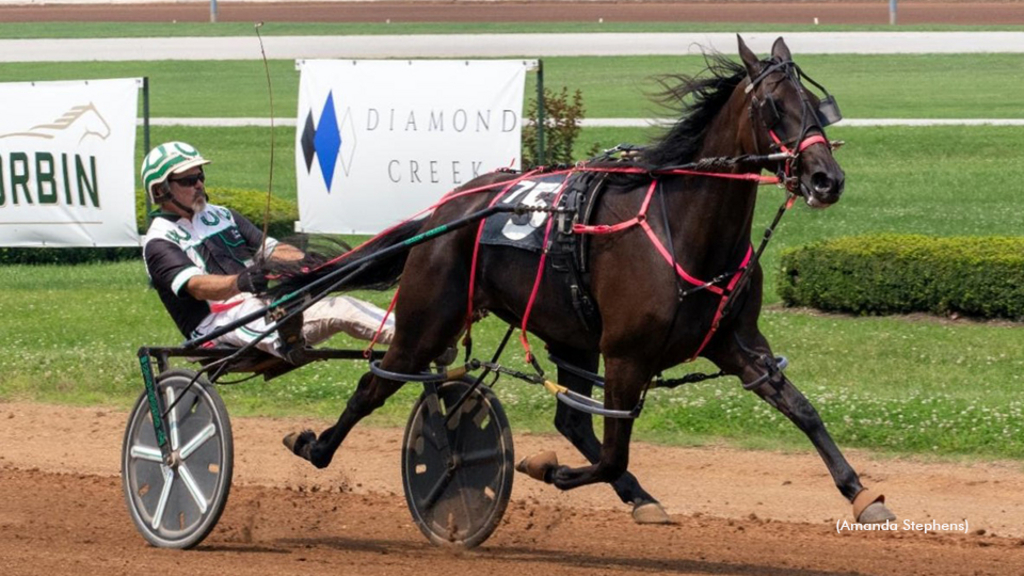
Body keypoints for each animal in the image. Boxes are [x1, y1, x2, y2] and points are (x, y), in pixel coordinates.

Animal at [270, 36, 897, 524]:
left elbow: (800, 407)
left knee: (569, 418)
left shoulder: (734, 341)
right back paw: (314, 446)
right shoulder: (626, 355)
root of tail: (445, 211)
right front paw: (541, 466)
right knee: (375, 383)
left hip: (569, 332)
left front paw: (861, 492)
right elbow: (613, 453)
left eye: (815, 104)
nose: (827, 179)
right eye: (772, 107)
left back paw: (638, 496)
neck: (686, 229)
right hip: (429, 320)